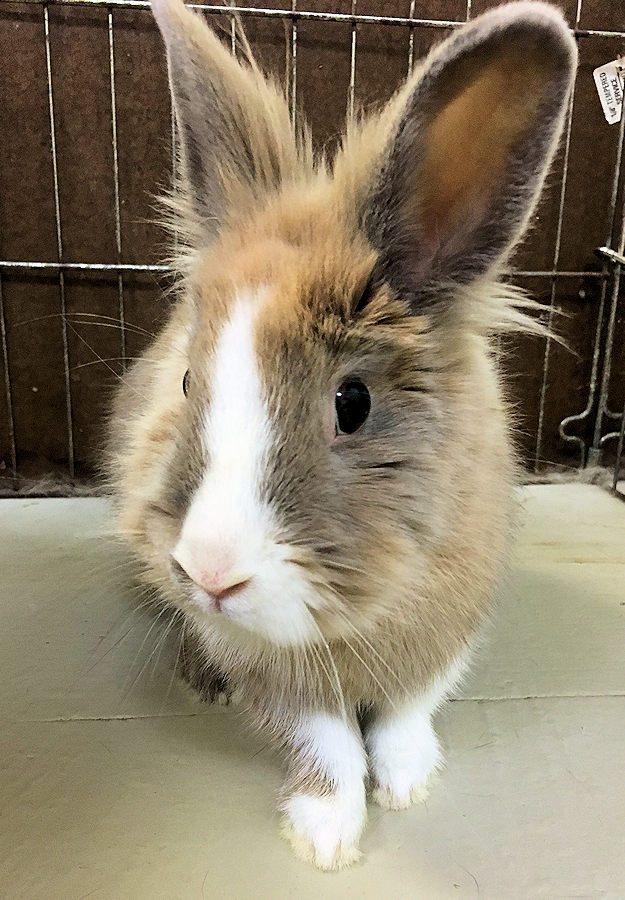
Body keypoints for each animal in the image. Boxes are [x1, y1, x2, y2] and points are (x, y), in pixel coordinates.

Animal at [106, 0, 576, 872]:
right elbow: (323, 742)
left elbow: (404, 712)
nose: (210, 574)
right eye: (186, 383)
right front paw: (324, 839)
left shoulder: (449, 622)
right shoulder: (272, 669)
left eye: (350, 403)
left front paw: (409, 783)